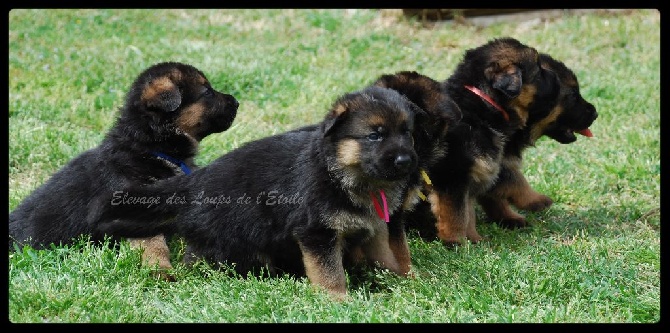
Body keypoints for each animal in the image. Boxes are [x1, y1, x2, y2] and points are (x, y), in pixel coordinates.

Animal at [94, 85, 422, 296]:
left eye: (407, 132)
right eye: (375, 136)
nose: (406, 161)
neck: (341, 174)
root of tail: (194, 182)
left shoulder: (377, 226)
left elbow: (389, 256)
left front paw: (405, 280)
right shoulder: (316, 233)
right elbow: (330, 273)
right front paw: (337, 301)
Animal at [376, 37, 600, 245]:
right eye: (573, 95)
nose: (596, 113)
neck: (482, 107)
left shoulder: (489, 163)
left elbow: (484, 200)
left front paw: (491, 229)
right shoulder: (454, 174)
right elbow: (462, 210)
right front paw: (457, 242)